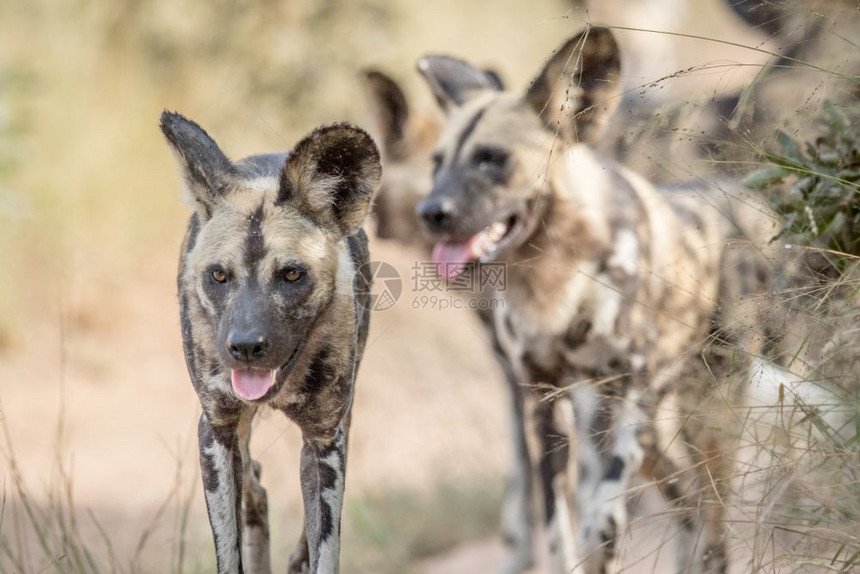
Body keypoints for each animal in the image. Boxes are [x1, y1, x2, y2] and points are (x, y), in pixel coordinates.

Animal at [159, 112, 380, 574]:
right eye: (219, 275)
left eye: (292, 275)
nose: (245, 346)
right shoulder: (216, 432)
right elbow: (229, 553)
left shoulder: (325, 442)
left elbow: (324, 549)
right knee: (255, 493)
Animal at [416, 25, 780, 574]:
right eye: (437, 164)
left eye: (491, 159)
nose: (430, 213)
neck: (551, 280)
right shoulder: (544, 404)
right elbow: (558, 526)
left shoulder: (630, 391)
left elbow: (600, 523)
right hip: (641, 427)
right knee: (689, 503)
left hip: (703, 415)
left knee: (712, 518)